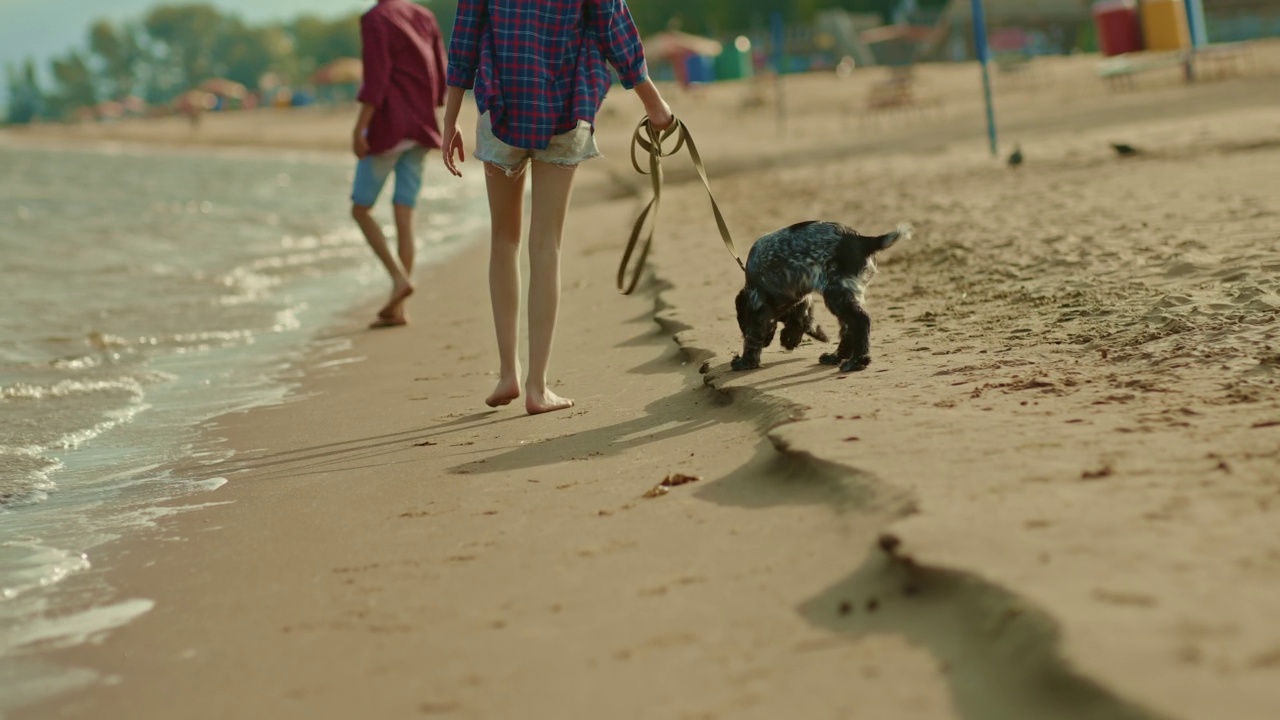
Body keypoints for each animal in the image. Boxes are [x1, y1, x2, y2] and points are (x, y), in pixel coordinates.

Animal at [732, 221, 911, 371]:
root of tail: (861, 241)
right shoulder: (800, 297)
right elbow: (800, 320)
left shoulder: (757, 303)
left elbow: (753, 336)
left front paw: (744, 362)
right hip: (845, 294)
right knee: (848, 328)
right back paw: (835, 357)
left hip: (836, 293)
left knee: (861, 321)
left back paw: (856, 362)